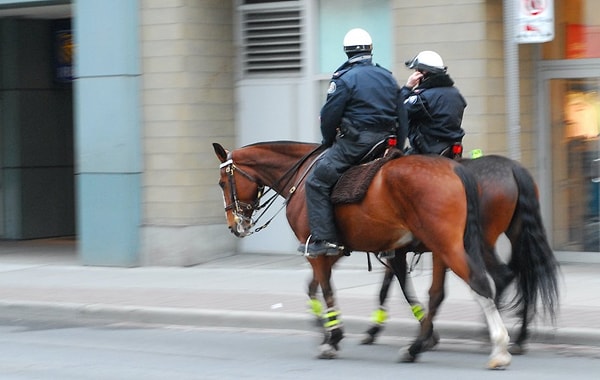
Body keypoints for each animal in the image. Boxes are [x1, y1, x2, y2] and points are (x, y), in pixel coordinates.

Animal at [212, 141, 510, 370]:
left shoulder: (316, 250)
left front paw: (332, 338)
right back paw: (415, 347)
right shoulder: (335, 249)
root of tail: (456, 168)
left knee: (481, 283)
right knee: (438, 293)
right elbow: (314, 287)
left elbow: (326, 288)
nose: (234, 225)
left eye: (222, 182)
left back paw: (499, 347)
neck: (301, 178)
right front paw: (325, 329)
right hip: (441, 248)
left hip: (447, 245)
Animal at [356, 154, 556, 354]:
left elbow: (393, 287)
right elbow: (388, 287)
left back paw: (493, 332)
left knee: (502, 276)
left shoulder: (399, 249)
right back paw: (519, 338)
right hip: (517, 235)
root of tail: (514, 168)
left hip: (481, 242)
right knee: (524, 276)